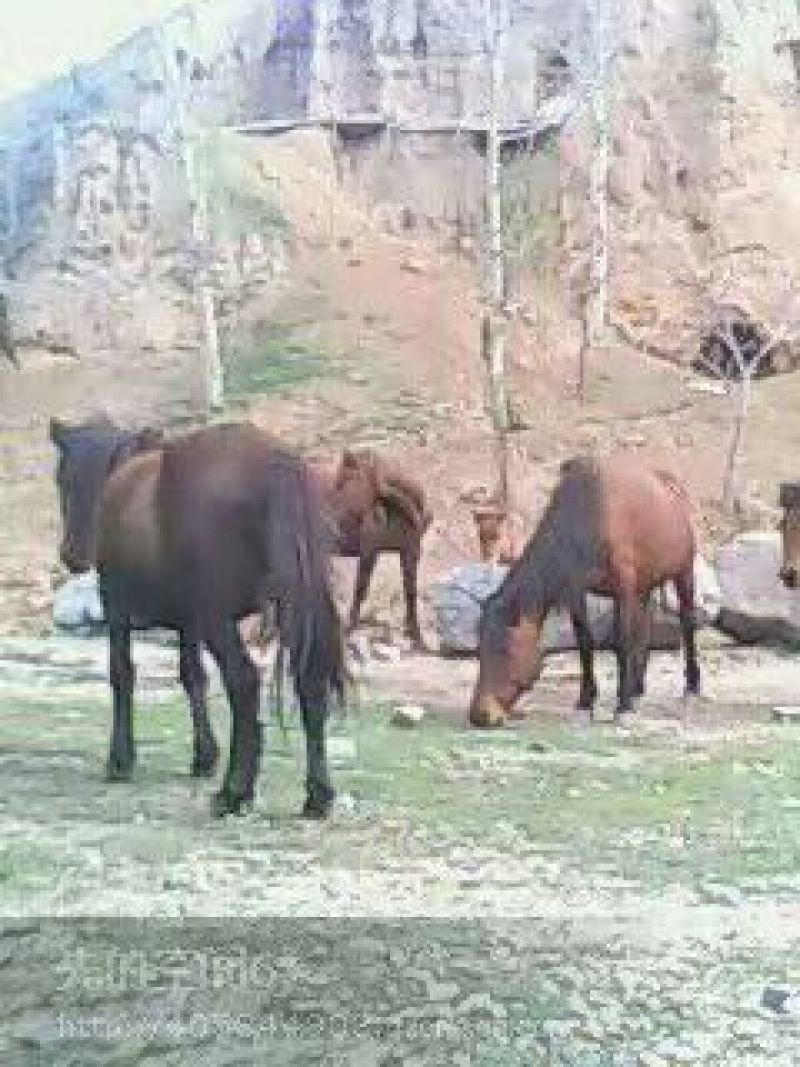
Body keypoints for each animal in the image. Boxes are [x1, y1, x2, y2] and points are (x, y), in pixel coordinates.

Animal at [50, 416, 345, 819]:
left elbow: (122, 674)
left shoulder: (117, 612)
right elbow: (193, 677)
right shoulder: (189, 624)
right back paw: (318, 794)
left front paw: (121, 760)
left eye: (61, 478)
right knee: (311, 684)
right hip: (301, 608)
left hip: (218, 617)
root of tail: (276, 463)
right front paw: (204, 755)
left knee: (243, 682)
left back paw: (234, 791)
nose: (72, 555)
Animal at [469, 453, 700, 728]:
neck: (589, 515)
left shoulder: (624, 589)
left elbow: (622, 642)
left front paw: (622, 707)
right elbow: (585, 642)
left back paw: (691, 687)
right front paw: (586, 702)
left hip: (684, 572)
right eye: (479, 649)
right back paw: (637, 688)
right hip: (644, 587)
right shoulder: (577, 591)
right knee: (645, 629)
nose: (480, 715)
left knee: (687, 621)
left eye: (504, 650)